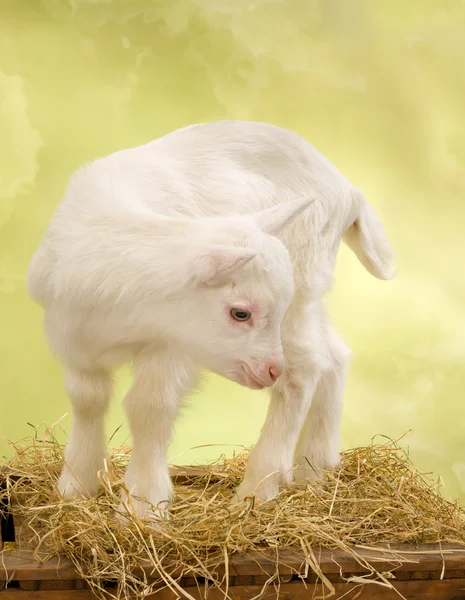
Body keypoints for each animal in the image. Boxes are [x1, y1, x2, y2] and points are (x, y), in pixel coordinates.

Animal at [27, 119, 394, 516]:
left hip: (305, 275)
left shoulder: (174, 345)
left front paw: (143, 505)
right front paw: (75, 486)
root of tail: (349, 190)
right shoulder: (69, 334)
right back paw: (314, 468)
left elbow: (149, 408)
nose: (269, 370)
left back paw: (258, 490)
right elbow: (87, 399)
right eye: (240, 313)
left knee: (306, 367)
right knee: (334, 355)